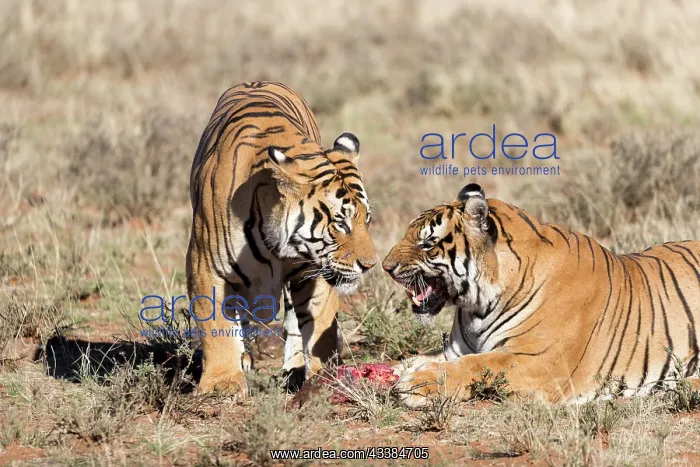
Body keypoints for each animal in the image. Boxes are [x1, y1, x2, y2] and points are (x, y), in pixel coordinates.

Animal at [187, 81, 377, 397]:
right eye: (340, 222)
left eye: (367, 219)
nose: (371, 265)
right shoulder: (206, 266)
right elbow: (217, 328)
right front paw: (221, 383)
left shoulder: (315, 273)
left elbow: (319, 327)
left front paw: (323, 378)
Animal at [383, 183, 700, 408]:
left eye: (427, 243)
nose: (386, 267)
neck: (477, 306)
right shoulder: (456, 350)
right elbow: (422, 358)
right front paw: (399, 370)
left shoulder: (538, 360)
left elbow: (476, 365)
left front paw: (415, 384)